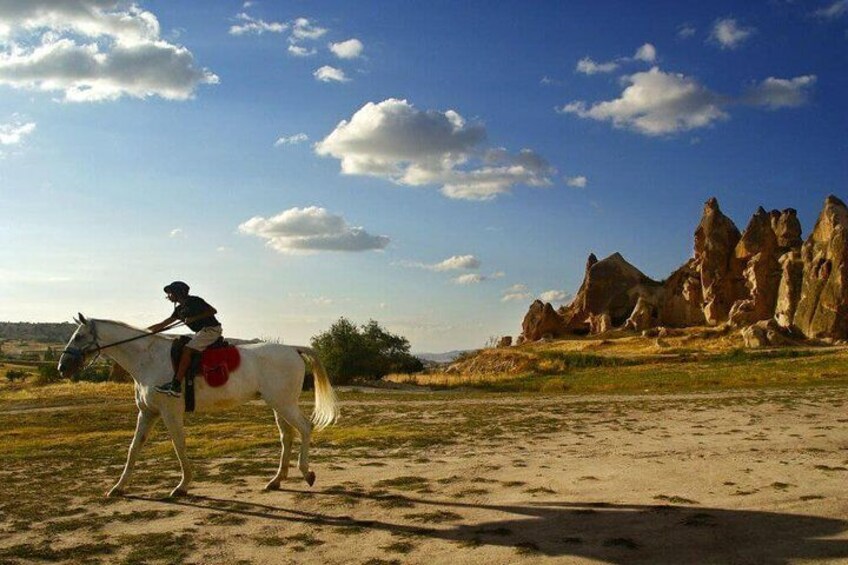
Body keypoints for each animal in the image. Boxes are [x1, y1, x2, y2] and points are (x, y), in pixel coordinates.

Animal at [58, 316, 338, 496]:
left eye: (79, 336)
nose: (62, 367)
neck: (148, 358)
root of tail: (293, 349)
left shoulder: (170, 413)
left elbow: (178, 445)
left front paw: (182, 486)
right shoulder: (147, 413)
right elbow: (133, 448)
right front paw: (118, 487)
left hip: (284, 403)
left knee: (305, 427)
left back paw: (306, 473)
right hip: (277, 405)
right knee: (287, 436)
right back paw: (276, 480)